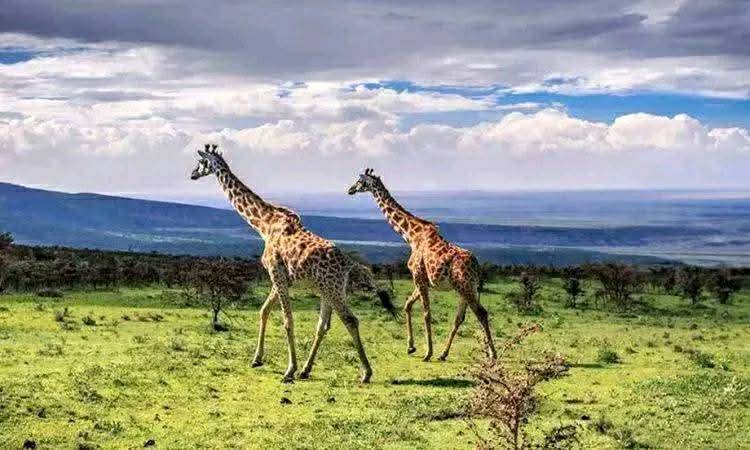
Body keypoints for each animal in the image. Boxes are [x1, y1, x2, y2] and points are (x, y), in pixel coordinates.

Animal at [191, 145, 396, 383]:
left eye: (200, 162)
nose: (192, 174)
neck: (264, 224)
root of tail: (348, 263)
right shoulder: (281, 278)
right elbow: (263, 311)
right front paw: (257, 359)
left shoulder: (276, 273)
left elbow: (287, 320)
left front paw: (289, 370)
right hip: (328, 290)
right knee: (323, 325)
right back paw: (306, 370)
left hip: (333, 289)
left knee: (350, 320)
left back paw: (365, 373)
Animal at [348, 168, 497, 362]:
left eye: (360, 180)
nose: (350, 190)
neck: (411, 236)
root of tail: (477, 266)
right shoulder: (423, 281)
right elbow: (408, 305)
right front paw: (411, 347)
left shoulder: (418, 277)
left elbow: (426, 313)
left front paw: (427, 353)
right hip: (464, 288)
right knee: (460, 318)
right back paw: (443, 354)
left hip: (465, 286)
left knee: (481, 313)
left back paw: (492, 354)